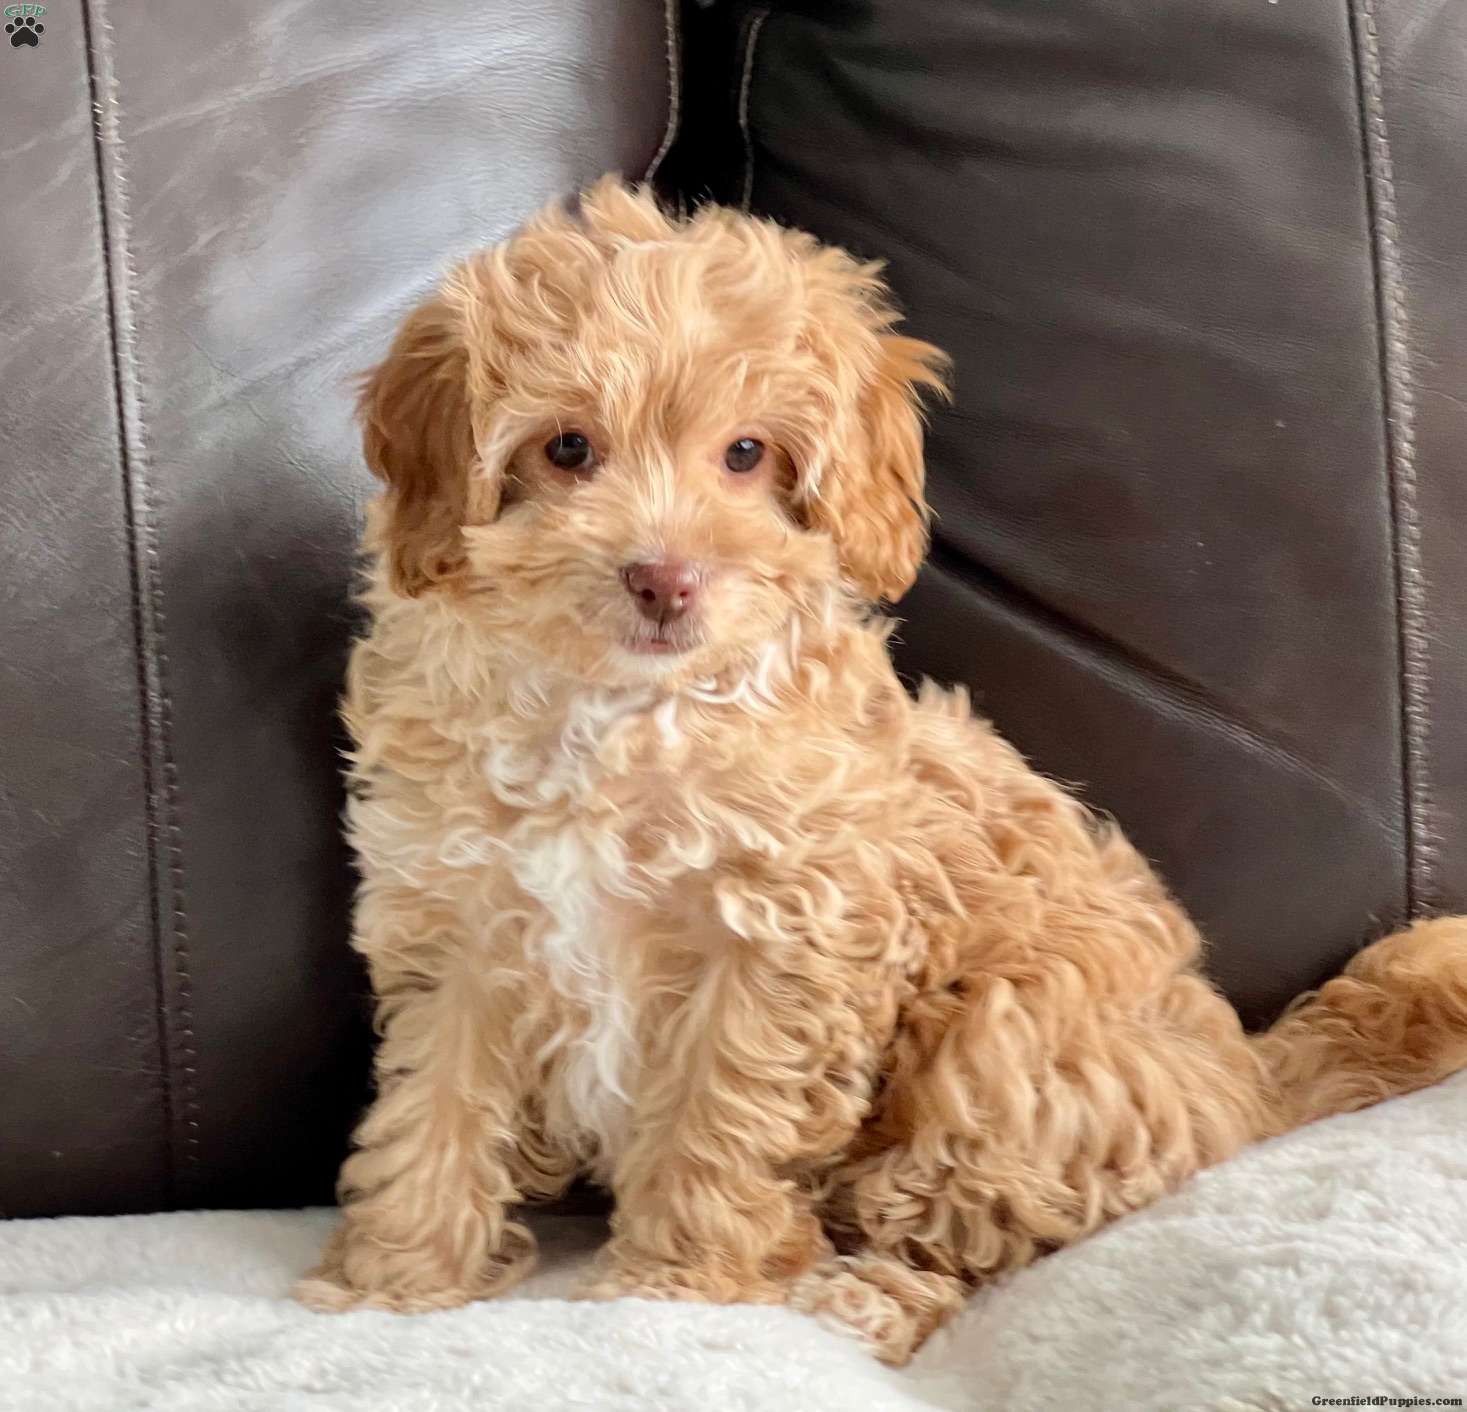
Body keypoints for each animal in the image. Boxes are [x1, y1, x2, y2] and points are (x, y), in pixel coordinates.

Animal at [296, 179, 1467, 1363]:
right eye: (568, 448)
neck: (623, 714)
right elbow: (432, 1107)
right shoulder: (465, 923)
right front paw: (397, 1281)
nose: (665, 579)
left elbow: (718, 1122)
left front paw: (677, 1289)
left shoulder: (777, 939)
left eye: (746, 455)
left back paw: (859, 1297)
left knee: (969, 1237)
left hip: (1009, 1045)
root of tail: (1245, 1086)